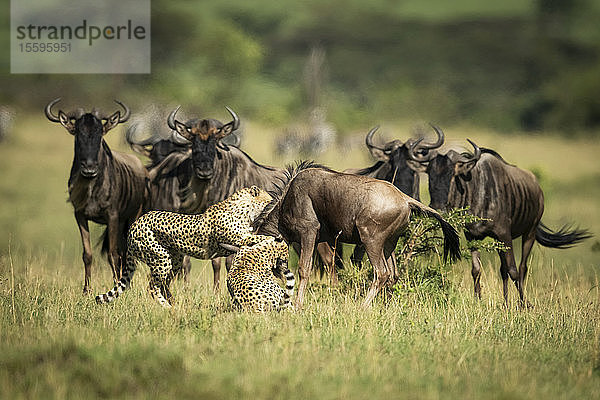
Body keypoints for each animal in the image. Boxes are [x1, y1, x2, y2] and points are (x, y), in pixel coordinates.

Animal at [95, 186, 272, 308]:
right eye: (268, 198)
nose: (273, 200)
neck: (245, 210)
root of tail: (134, 224)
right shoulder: (239, 238)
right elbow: (260, 237)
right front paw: (272, 239)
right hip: (161, 259)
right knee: (152, 287)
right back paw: (166, 306)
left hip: (175, 261)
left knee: (163, 284)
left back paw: (173, 303)